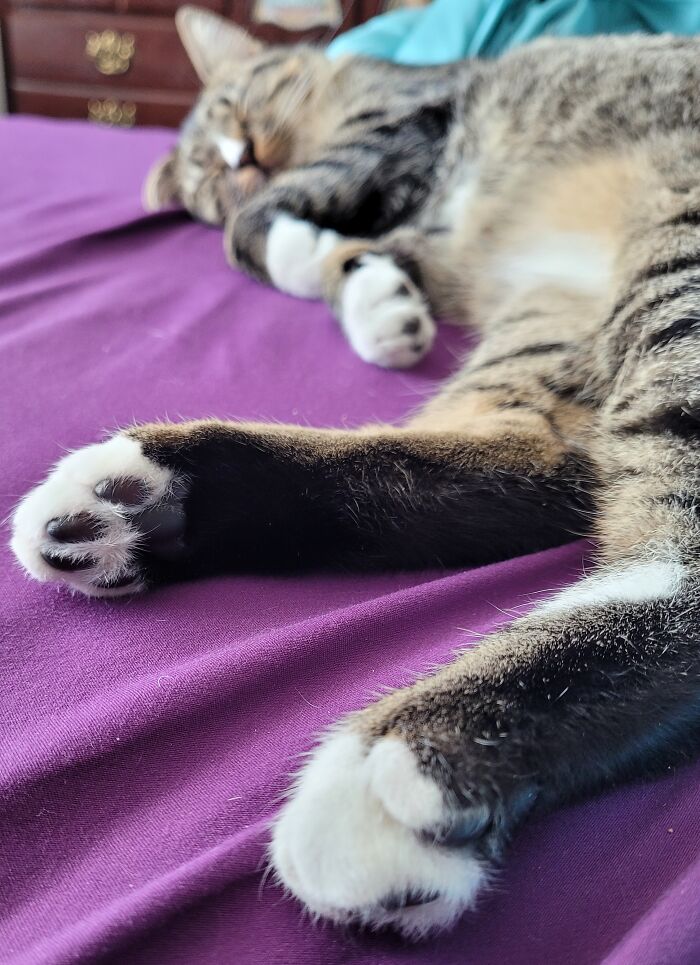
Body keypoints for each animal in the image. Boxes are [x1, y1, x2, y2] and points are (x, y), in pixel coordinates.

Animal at [11, 4, 700, 939]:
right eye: (206, 176)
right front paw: (372, 298)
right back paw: (155, 501)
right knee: (546, 466)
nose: (242, 158)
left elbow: (258, 234)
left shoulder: (398, 123)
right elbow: (321, 251)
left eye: (239, 106)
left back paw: (419, 755)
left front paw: (320, 259)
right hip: (553, 316)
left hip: (674, 254)